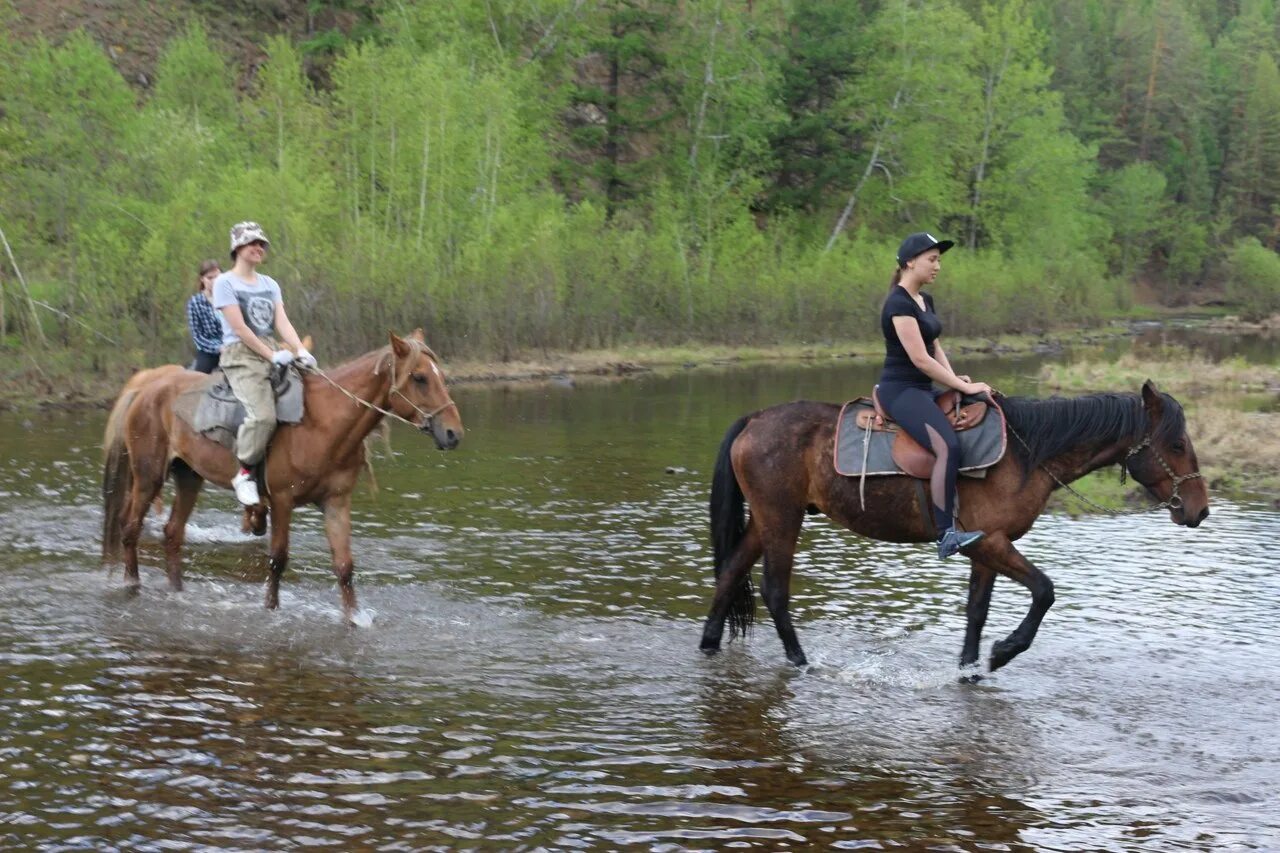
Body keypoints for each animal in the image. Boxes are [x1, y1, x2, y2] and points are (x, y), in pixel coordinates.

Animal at [101, 327, 460, 614]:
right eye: (419, 377)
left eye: (441, 376)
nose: (454, 433)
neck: (323, 422)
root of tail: (148, 386)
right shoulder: (282, 500)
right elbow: (277, 560)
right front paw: (270, 609)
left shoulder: (336, 502)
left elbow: (344, 566)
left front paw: (354, 618)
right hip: (149, 475)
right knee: (130, 527)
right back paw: (131, 585)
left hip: (189, 476)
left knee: (173, 533)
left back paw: (177, 591)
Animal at [701, 379, 1208, 671]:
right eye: (1177, 444)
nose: (1199, 510)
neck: (1025, 454)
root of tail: (755, 419)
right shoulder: (988, 543)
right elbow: (1045, 591)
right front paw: (1003, 653)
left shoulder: (988, 547)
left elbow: (977, 611)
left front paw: (969, 668)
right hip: (781, 519)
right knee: (774, 592)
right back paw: (800, 662)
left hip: (765, 519)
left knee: (729, 575)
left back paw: (708, 646)